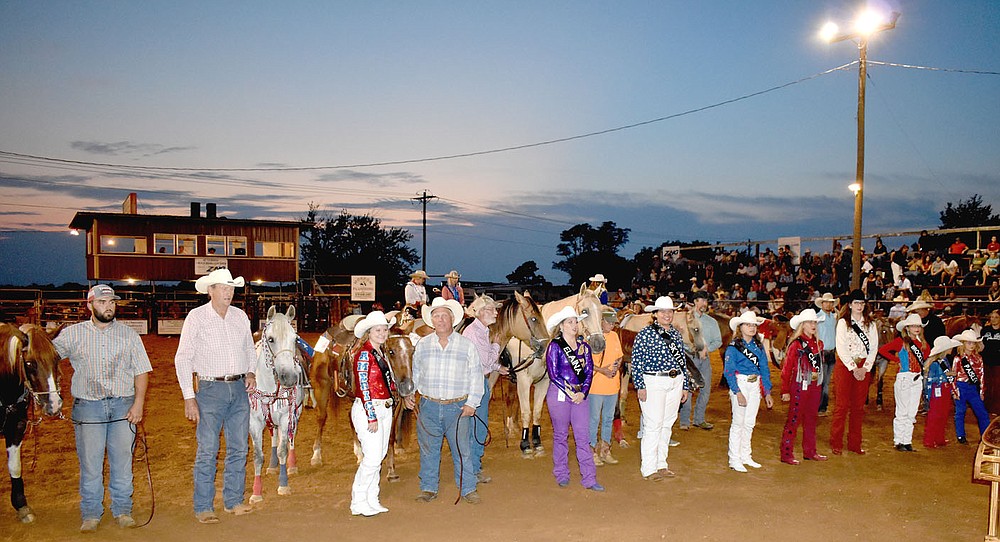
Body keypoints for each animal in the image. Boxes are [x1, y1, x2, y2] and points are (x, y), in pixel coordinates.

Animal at [0, 326, 63, 524]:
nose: (54, 404)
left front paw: (21, 506)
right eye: (29, 363)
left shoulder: (16, 426)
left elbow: (15, 466)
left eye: (57, 358)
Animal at [249, 306, 306, 506]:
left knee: (290, 436)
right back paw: (273, 466)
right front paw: (256, 493)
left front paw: (283, 485)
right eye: (271, 339)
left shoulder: (285, 415)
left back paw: (292, 465)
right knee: (274, 435)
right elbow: (258, 456)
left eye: (294, 338)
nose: (289, 377)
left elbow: (283, 449)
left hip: (296, 411)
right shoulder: (254, 421)